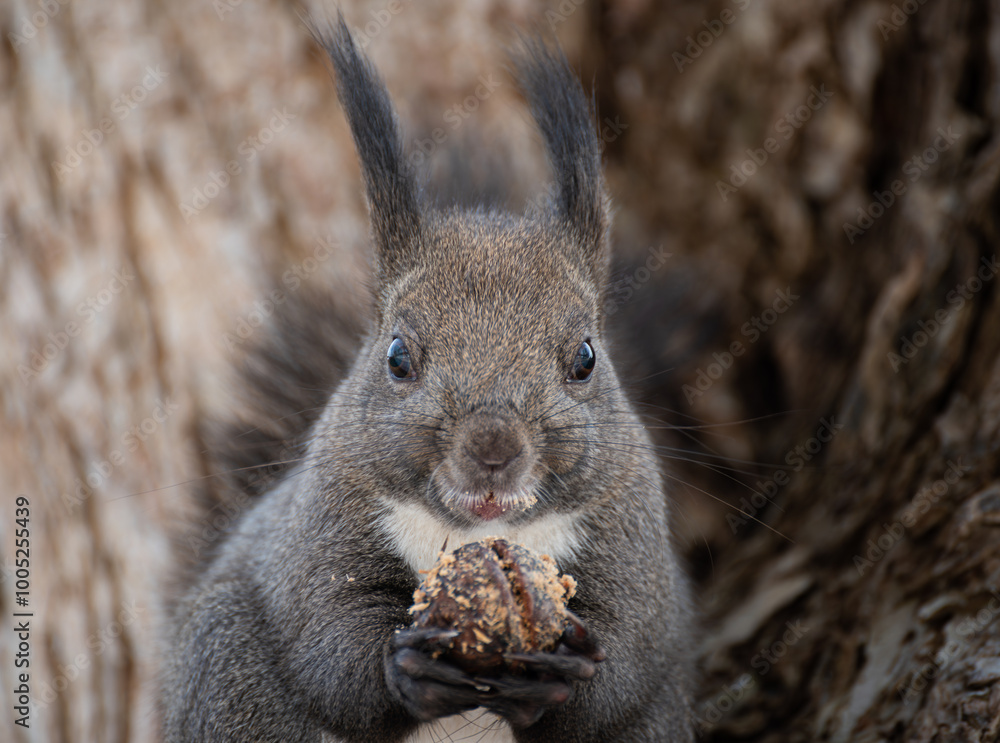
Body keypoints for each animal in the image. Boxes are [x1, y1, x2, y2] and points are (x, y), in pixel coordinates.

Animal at [159, 14, 694, 743]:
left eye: (585, 358)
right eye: (397, 357)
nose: (493, 449)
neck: (473, 533)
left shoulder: (631, 530)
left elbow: (625, 659)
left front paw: (560, 672)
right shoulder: (323, 518)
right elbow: (327, 635)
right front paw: (405, 667)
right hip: (231, 669)